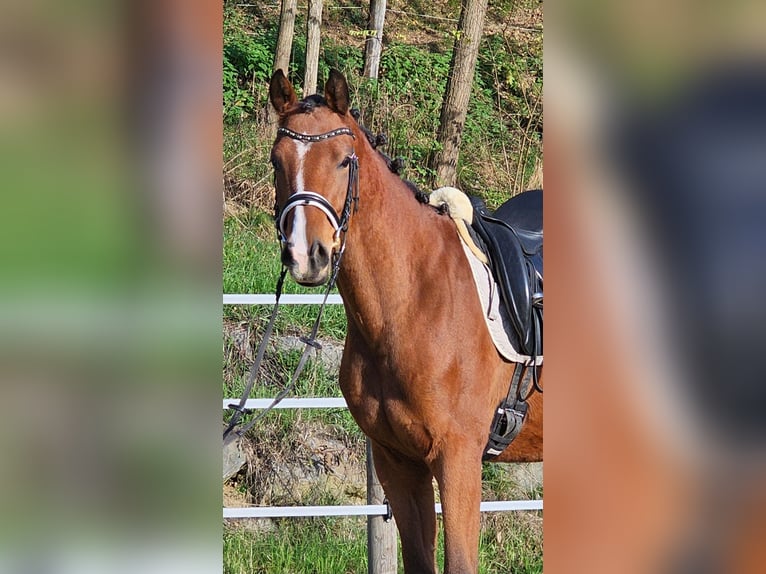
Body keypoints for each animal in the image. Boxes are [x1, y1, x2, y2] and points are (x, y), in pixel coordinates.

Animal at [270, 70, 544, 572]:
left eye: (343, 162)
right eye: (277, 161)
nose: (306, 254)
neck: (413, 301)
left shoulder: (457, 459)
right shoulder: (398, 461)